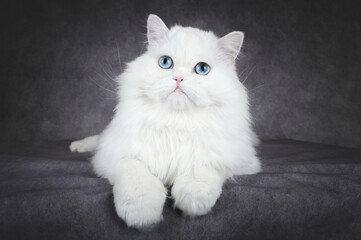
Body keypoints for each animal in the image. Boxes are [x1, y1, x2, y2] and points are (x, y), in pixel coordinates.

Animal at [69, 14, 258, 231]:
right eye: (166, 63)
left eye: (202, 69)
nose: (179, 78)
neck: (175, 123)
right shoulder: (114, 156)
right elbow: (136, 175)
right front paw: (142, 215)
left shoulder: (240, 160)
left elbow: (204, 167)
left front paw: (193, 200)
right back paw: (77, 146)